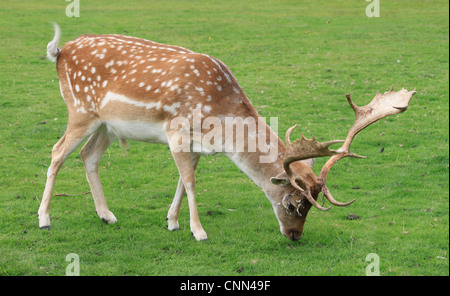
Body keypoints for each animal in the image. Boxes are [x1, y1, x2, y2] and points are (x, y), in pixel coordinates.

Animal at [38, 23, 414, 240]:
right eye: (293, 204)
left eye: (311, 205)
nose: (295, 236)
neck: (220, 125)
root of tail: (60, 51)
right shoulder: (177, 132)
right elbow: (190, 182)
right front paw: (198, 231)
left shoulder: (195, 144)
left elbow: (182, 179)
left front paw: (172, 222)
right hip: (80, 111)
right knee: (56, 152)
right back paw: (44, 219)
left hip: (107, 125)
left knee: (88, 156)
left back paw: (107, 216)